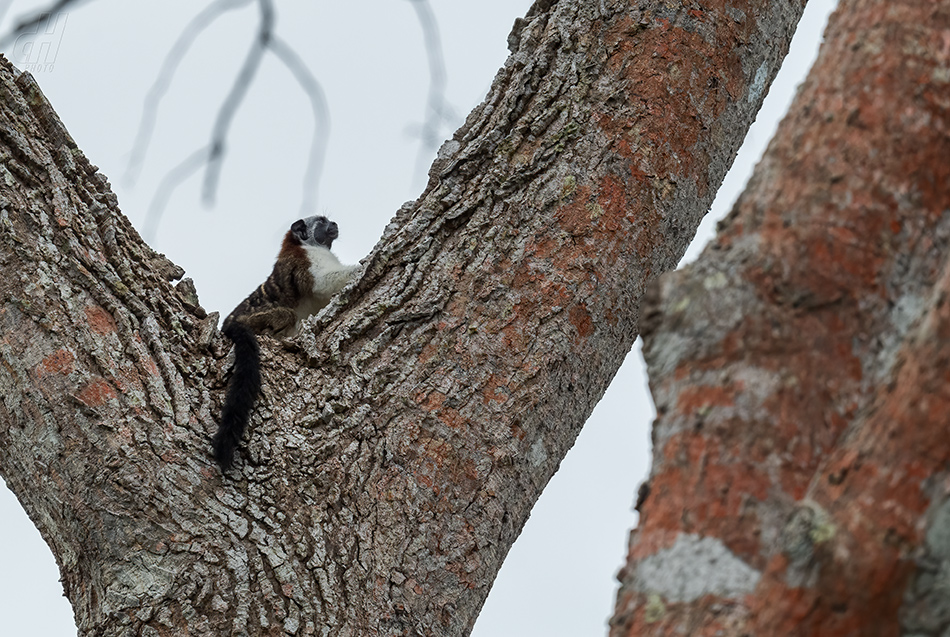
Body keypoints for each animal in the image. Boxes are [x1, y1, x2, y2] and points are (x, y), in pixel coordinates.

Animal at [214, 216, 358, 470]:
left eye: (329, 221)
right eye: (322, 222)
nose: (334, 224)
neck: (306, 245)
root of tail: (229, 326)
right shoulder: (305, 261)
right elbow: (322, 283)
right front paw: (359, 268)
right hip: (254, 321)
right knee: (287, 315)